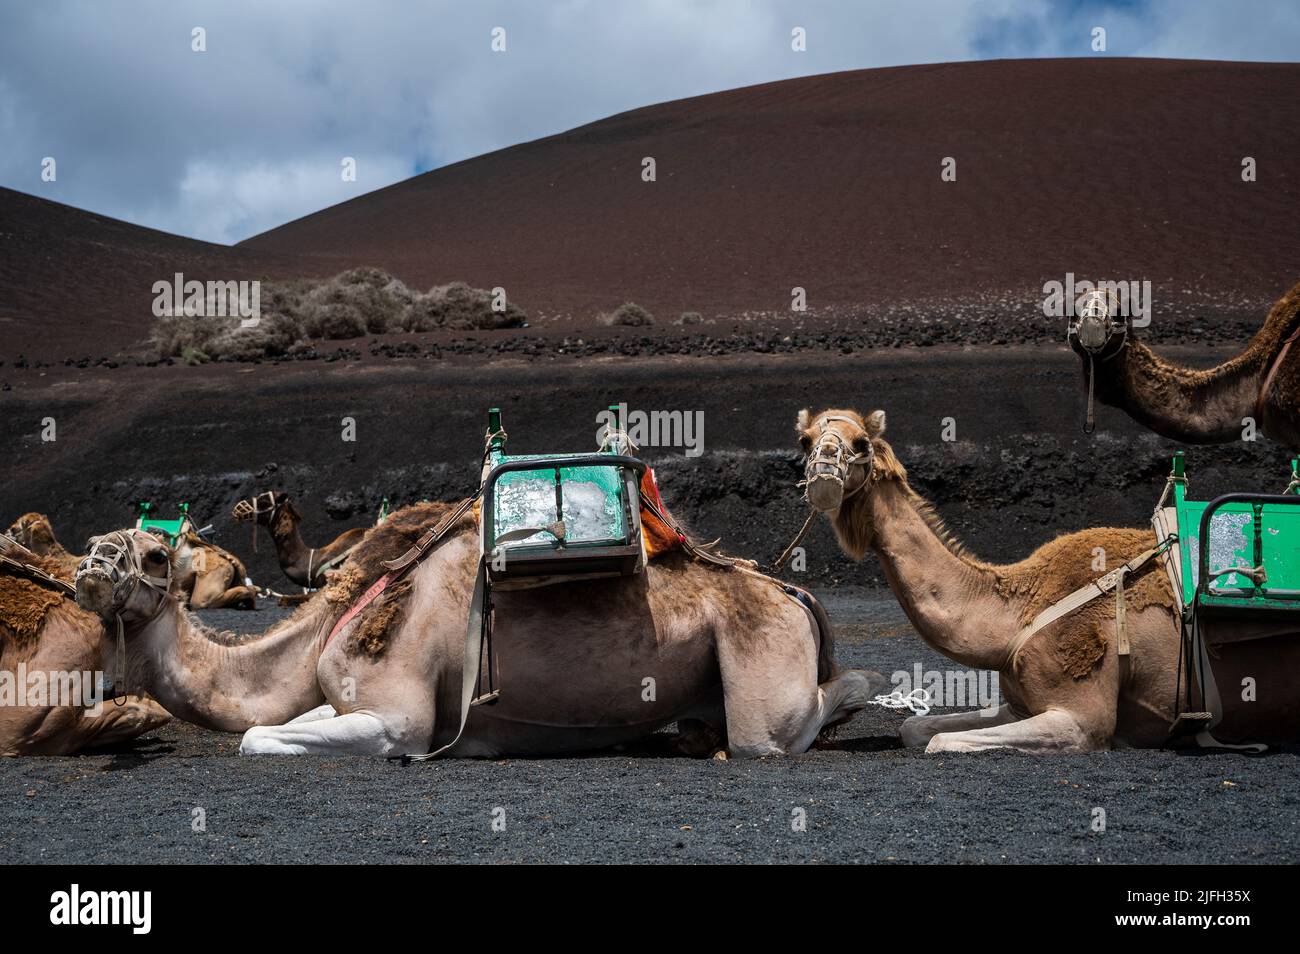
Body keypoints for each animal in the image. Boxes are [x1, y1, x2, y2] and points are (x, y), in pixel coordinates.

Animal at [792, 407, 1300, 753]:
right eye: (805, 440)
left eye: (860, 442)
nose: (824, 471)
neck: (1016, 615)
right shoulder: (1022, 703)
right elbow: (915, 728)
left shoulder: (1081, 719)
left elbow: (939, 743)